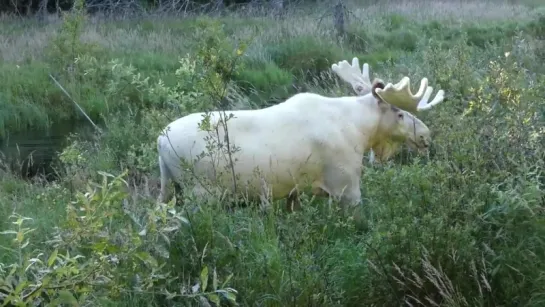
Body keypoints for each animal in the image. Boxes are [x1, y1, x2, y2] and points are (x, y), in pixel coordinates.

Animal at [155, 57, 444, 217]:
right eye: (399, 113)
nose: (426, 135)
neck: (360, 130)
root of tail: (159, 141)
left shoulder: (294, 192)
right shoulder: (346, 186)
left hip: (170, 188)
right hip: (201, 193)